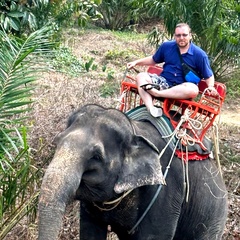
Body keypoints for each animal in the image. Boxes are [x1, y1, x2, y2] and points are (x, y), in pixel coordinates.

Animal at [38, 103, 228, 240]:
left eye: (96, 156)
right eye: (57, 142)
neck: (134, 130)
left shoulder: (166, 191)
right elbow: (90, 231)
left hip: (213, 217)